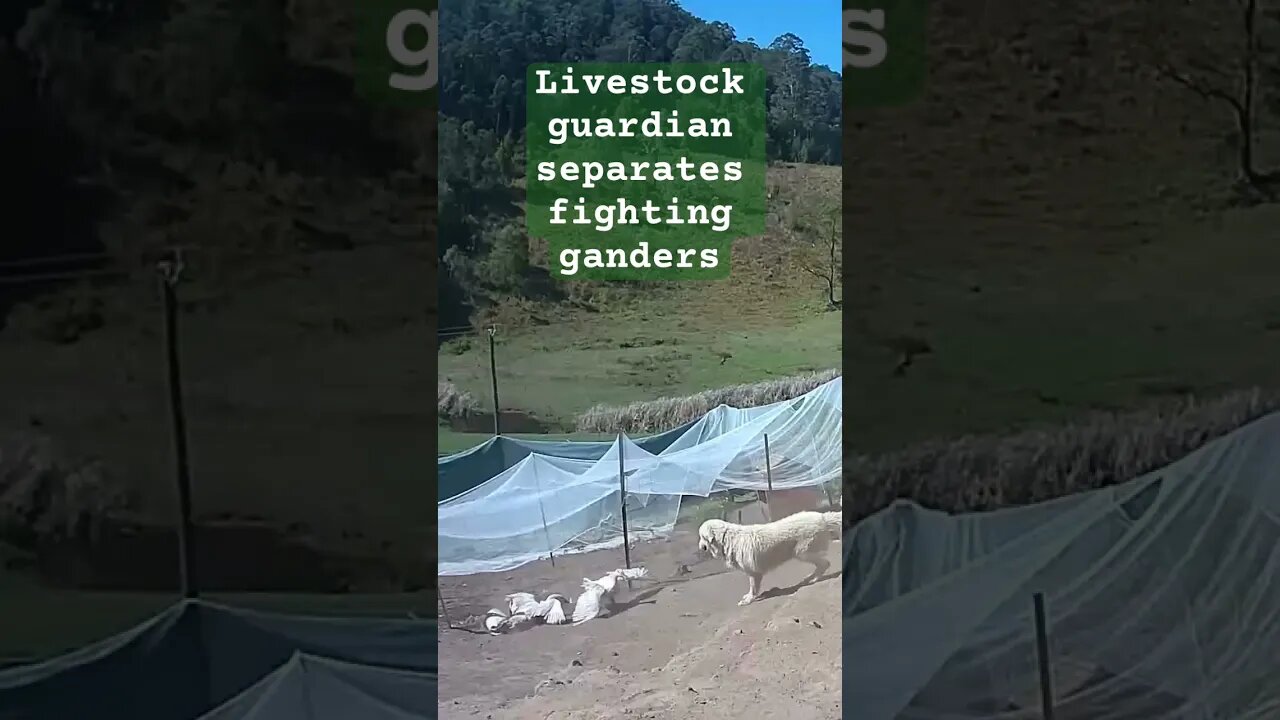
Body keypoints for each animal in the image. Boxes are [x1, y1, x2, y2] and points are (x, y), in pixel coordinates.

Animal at [701, 507, 839, 602]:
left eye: (702, 537)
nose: (701, 547)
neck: (727, 538)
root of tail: (822, 517)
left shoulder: (754, 573)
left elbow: (753, 588)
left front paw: (749, 599)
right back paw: (811, 578)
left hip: (802, 553)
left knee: (825, 563)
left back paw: (813, 578)